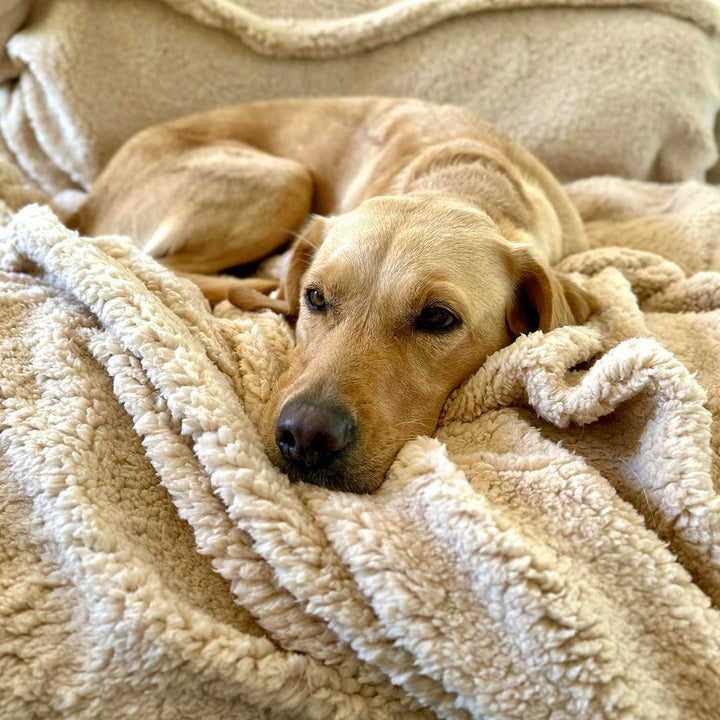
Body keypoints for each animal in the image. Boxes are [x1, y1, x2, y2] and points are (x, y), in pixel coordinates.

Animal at [76, 97, 592, 496]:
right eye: (316, 297)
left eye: (439, 318)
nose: (305, 436)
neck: (462, 182)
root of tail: (87, 203)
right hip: (286, 178)